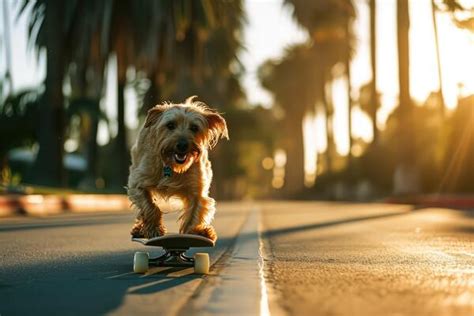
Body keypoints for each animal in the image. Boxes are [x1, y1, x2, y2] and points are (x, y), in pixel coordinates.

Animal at [127, 95, 229, 241]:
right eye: (170, 125)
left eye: (194, 127)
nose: (182, 145)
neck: (172, 165)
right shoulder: (138, 183)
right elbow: (150, 207)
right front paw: (154, 229)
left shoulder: (197, 190)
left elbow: (195, 212)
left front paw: (195, 231)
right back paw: (139, 229)